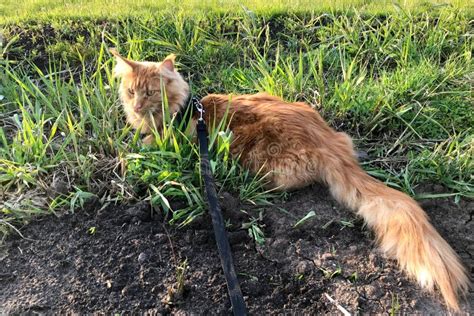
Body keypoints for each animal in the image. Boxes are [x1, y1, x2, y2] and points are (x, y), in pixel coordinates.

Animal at [112, 50, 470, 312]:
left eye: (149, 93)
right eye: (131, 91)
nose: (137, 106)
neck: (185, 108)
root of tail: (329, 143)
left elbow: (131, 150)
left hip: (261, 160)